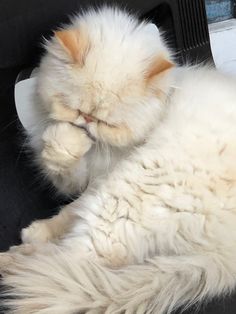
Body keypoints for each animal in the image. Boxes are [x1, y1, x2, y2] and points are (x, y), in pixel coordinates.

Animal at [0, 5, 236, 314]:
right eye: (76, 110)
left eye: (107, 123)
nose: (86, 122)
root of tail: (226, 255)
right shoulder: (87, 179)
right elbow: (66, 177)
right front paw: (66, 140)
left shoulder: (104, 178)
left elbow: (70, 210)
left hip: (127, 194)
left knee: (73, 259)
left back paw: (11, 262)